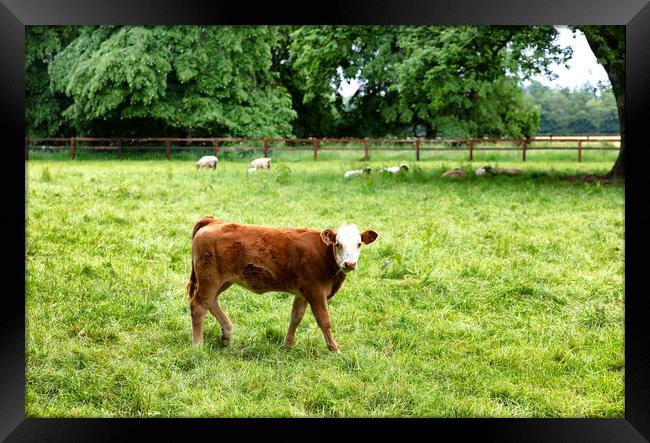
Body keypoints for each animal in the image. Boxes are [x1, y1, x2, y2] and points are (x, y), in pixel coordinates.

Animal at [185, 216, 378, 354]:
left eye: (359, 244)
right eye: (338, 244)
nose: (350, 264)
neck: (324, 255)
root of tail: (213, 221)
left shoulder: (303, 293)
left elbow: (296, 317)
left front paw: (287, 345)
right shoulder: (316, 292)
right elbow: (324, 321)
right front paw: (335, 349)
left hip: (222, 281)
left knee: (211, 302)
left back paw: (227, 334)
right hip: (210, 279)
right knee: (199, 306)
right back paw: (198, 345)